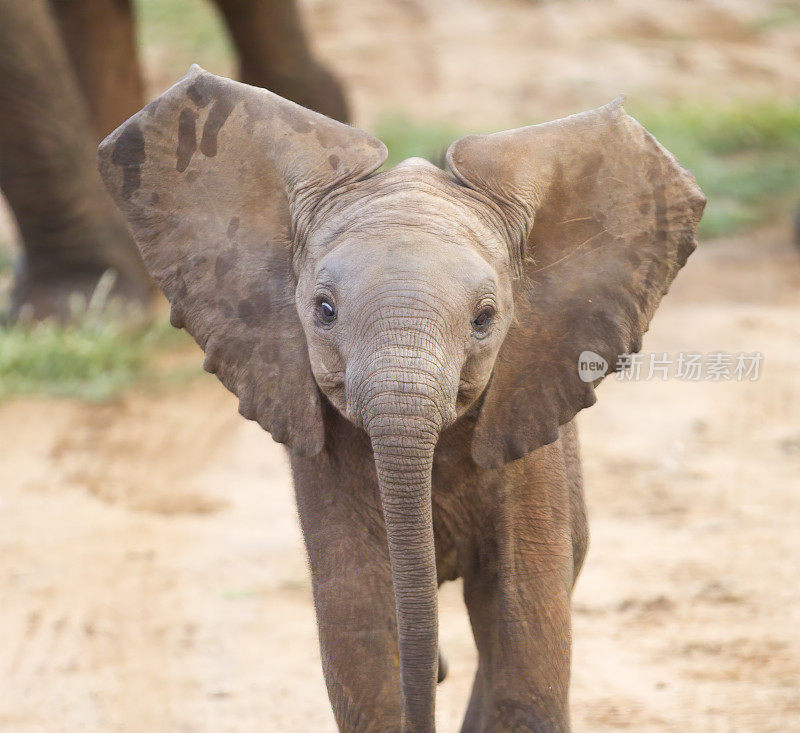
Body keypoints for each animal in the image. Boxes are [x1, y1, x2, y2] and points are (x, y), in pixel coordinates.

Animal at [97, 66, 704, 728]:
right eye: (324, 311)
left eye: (485, 318)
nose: (435, 675)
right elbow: (361, 629)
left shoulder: (526, 438)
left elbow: (524, 632)